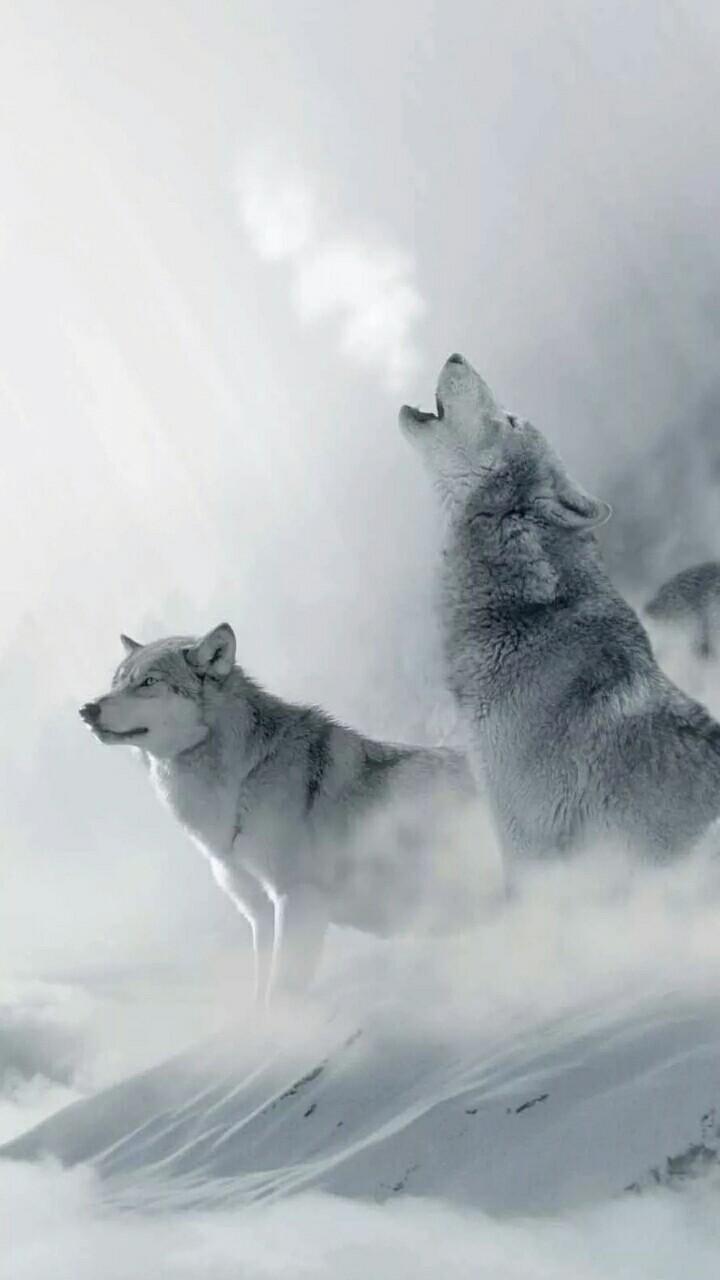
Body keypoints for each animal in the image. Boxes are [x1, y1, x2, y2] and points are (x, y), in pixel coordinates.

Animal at [79, 625, 475, 1003]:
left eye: (148, 682)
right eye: (116, 682)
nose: (87, 710)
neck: (243, 780)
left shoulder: (297, 901)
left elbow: (280, 994)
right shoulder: (261, 916)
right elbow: (261, 996)